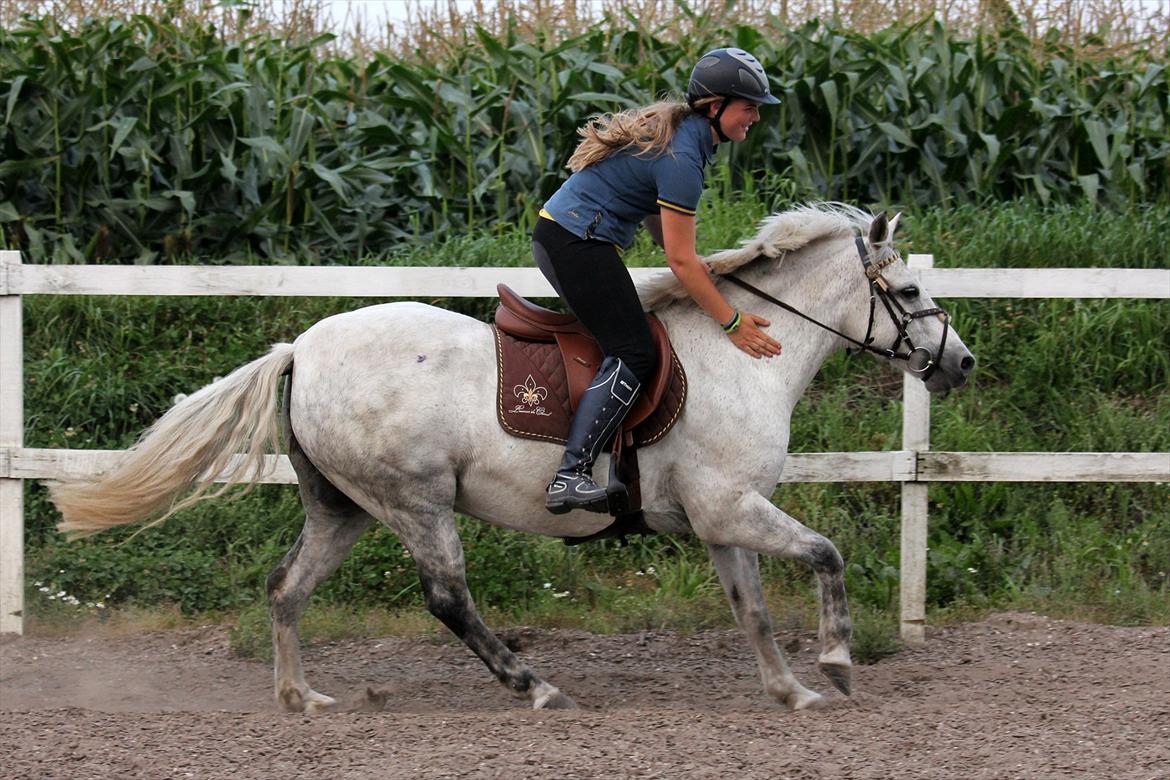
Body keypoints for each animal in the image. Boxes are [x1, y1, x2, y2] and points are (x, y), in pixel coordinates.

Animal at [50, 203, 973, 715]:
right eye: (912, 293)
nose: (959, 363)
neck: (744, 353)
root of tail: (300, 350)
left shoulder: (721, 520)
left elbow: (752, 610)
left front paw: (792, 691)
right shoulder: (730, 508)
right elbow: (827, 554)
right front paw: (839, 664)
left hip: (342, 507)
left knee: (287, 588)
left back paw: (300, 697)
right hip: (416, 502)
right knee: (448, 599)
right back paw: (537, 687)